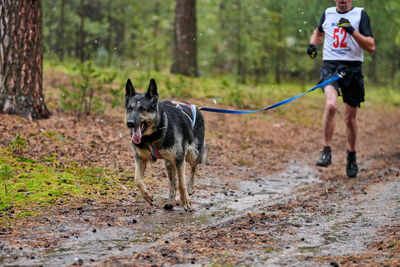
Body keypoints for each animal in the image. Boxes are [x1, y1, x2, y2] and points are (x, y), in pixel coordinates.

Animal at [125, 78, 206, 213]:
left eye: (143, 108)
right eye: (129, 108)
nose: (129, 123)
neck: (152, 136)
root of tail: (196, 107)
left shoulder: (179, 159)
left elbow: (181, 183)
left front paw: (186, 201)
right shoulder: (140, 158)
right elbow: (137, 179)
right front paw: (147, 196)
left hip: (192, 154)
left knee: (194, 168)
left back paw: (190, 187)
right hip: (168, 163)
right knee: (172, 183)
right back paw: (170, 202)